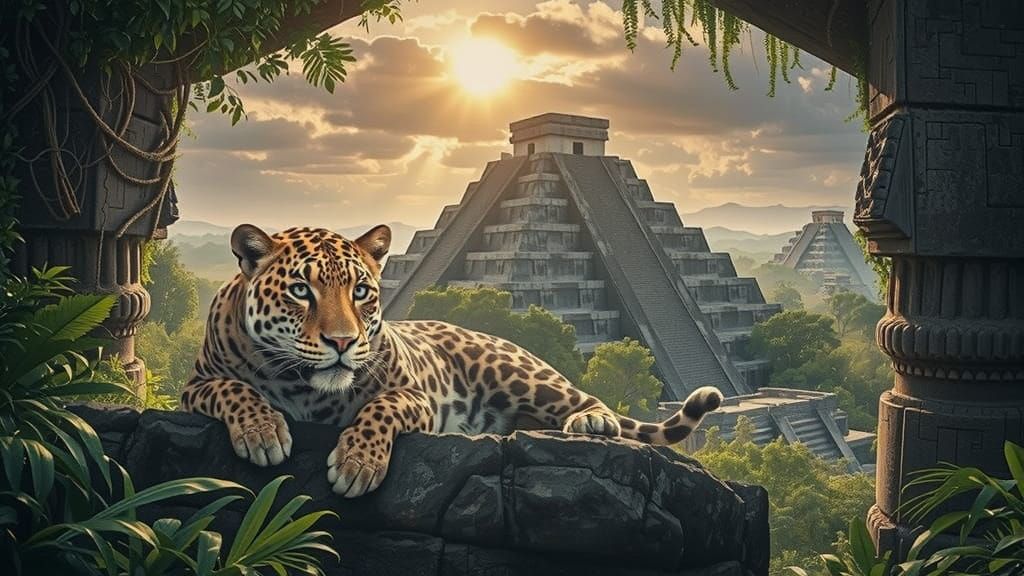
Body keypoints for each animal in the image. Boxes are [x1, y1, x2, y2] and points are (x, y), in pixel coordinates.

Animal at [181, 223, 724, 498]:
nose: (342, 341)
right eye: (300, 291)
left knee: (580, 398)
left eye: (361, 292)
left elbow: (377, 410)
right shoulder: (197, 383)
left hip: (521, 375)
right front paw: (262, 433)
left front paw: (358, 463)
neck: (301, 383)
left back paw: (592, 421)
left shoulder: (416, 395)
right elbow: (236, 389)